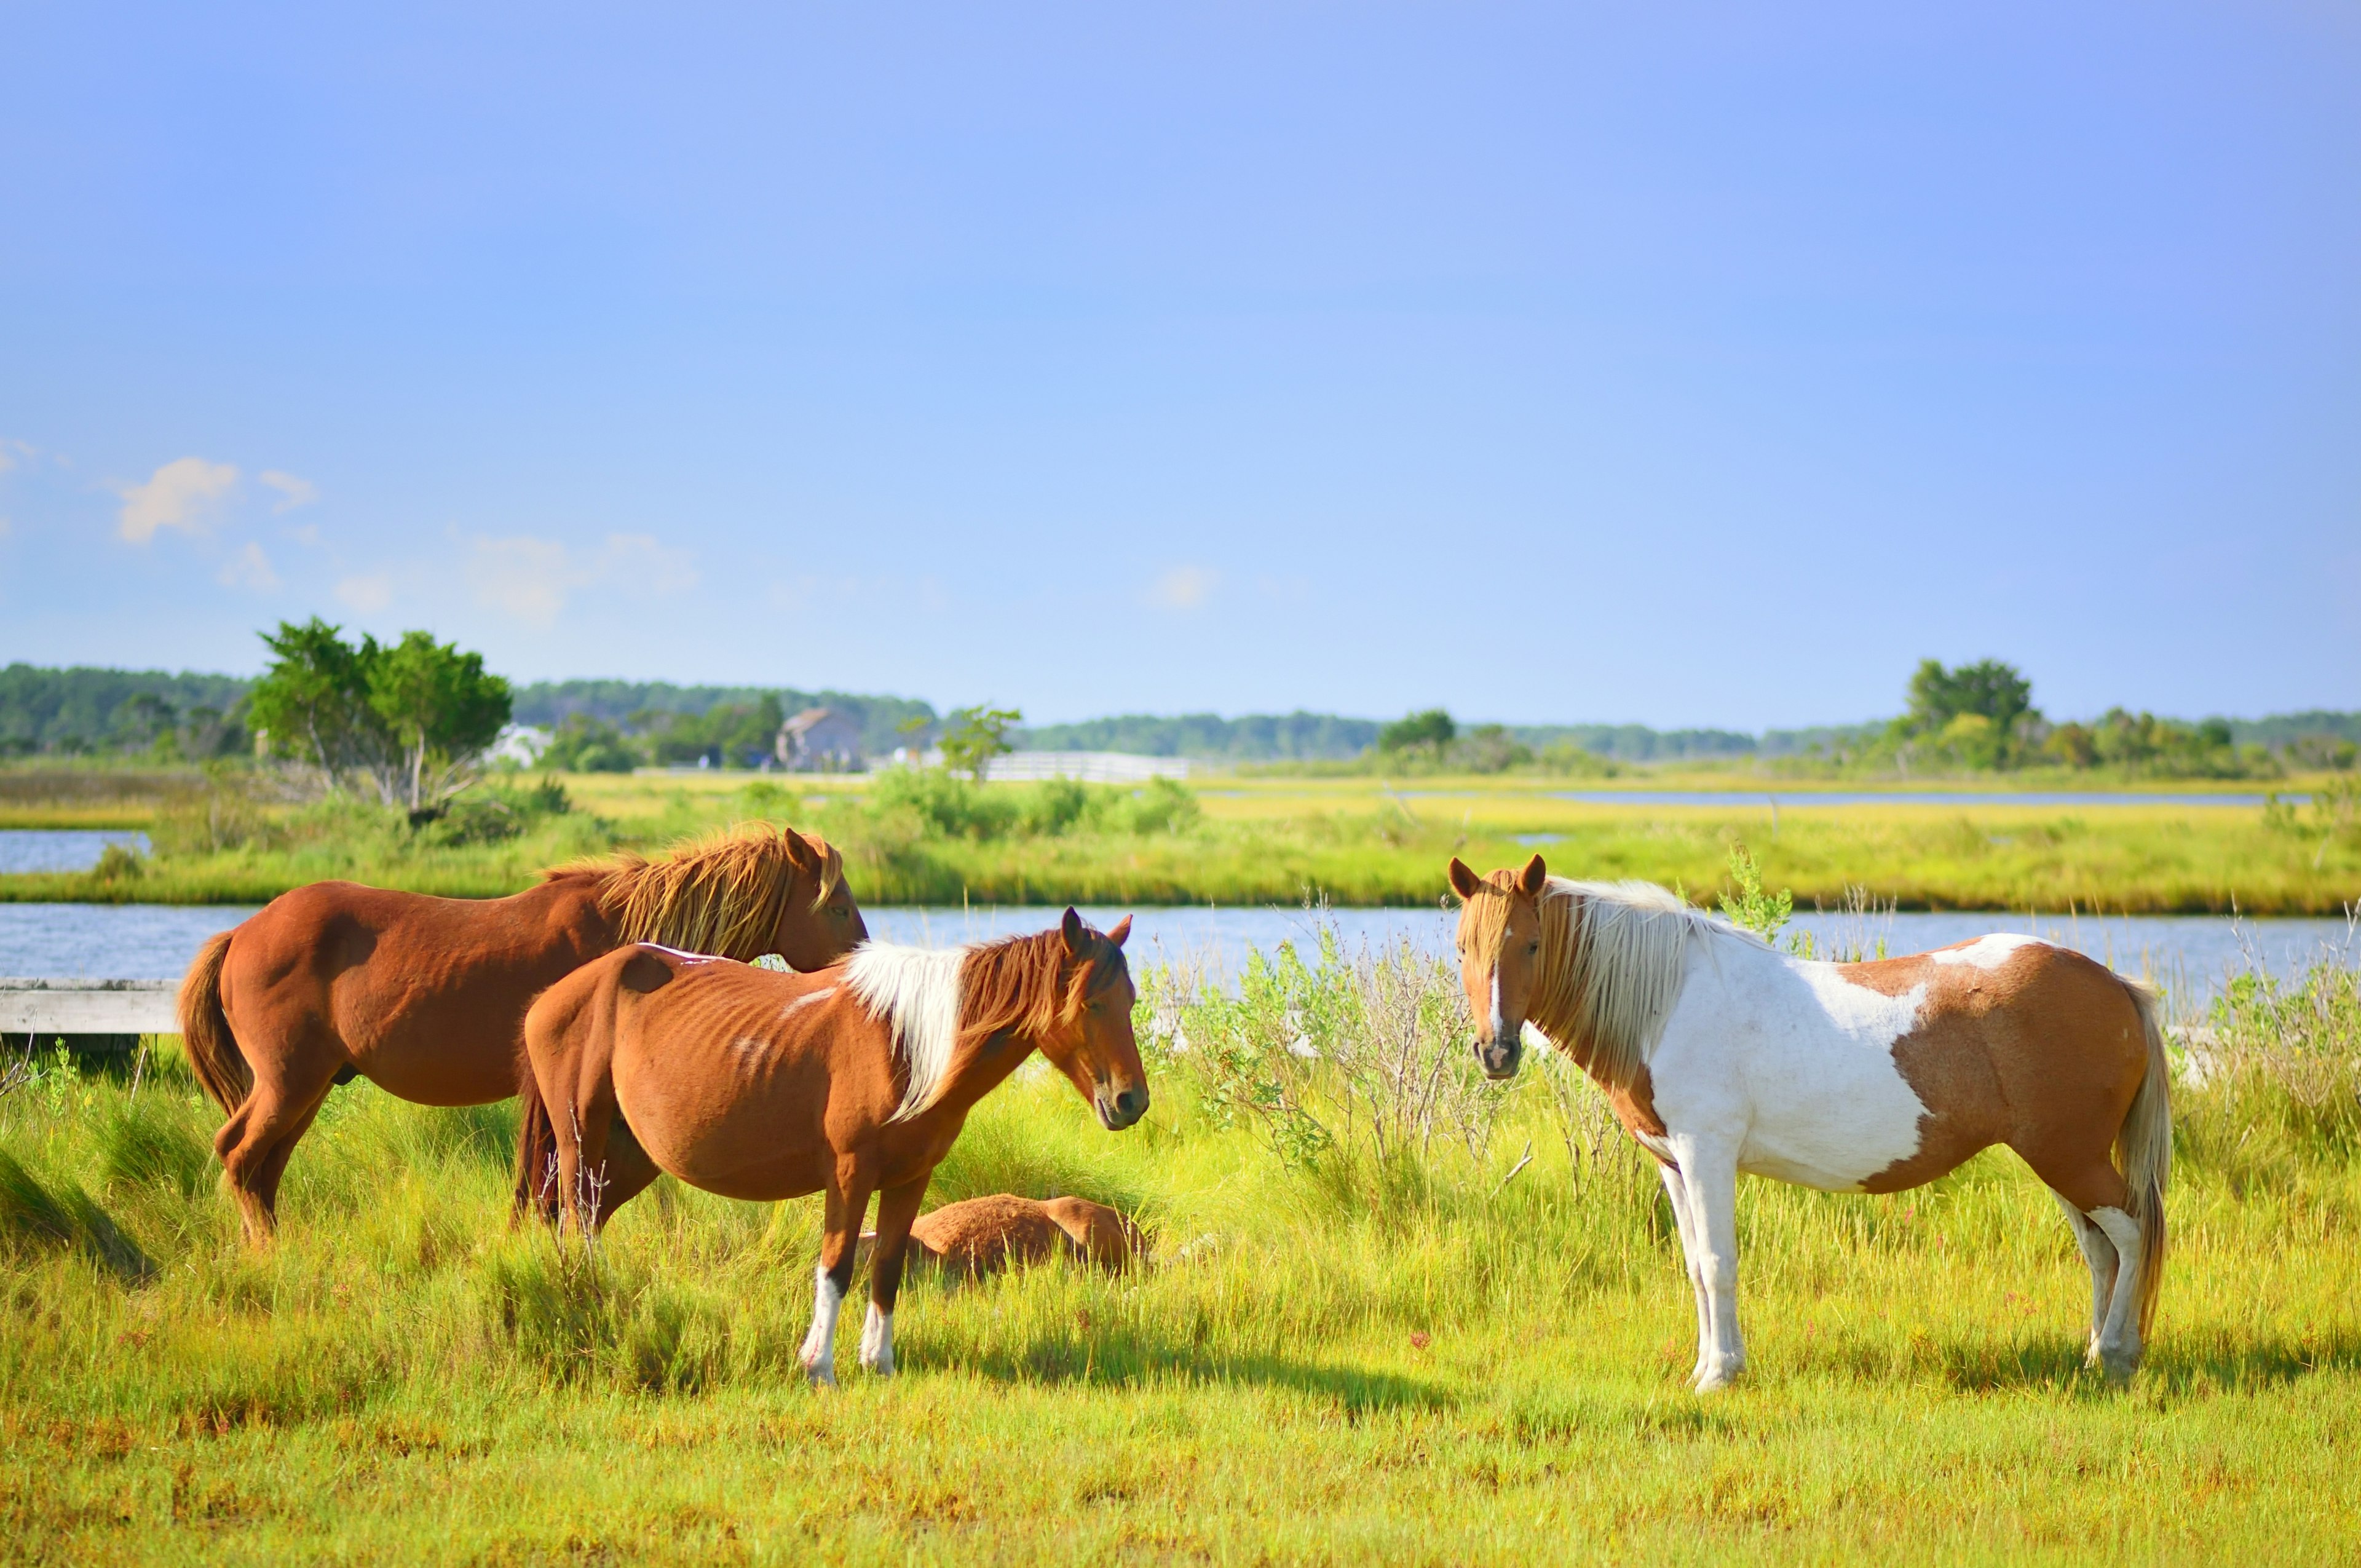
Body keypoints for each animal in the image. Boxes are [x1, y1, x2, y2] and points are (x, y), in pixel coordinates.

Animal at [179, 826, 869, 1246]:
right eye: (837, 907)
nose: (864, 970)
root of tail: (242, 933)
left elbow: (539, 1181)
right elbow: (548, 1179)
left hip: (308, 1088)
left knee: (264, 1168)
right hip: (288, 1084)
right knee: (239, 1155)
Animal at [521, 906, 1147, 1388]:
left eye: (1131, 1001)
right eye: (1090, 1004)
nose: (1131, 1101)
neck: (908, 1043)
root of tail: (552, 997)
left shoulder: (910, 1178)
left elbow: (888, 1266)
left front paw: (880, 1363)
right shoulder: (849, 1174)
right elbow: (837, 1267)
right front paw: (818, 1366)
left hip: (627, 1157)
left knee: (583, 1218)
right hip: (582, 1138)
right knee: (576, 1220)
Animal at [1445, 850, 2162, 1388]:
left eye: (1531, 944)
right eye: (1461, 950)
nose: (1496, 1053)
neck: (1665, 1002)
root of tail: (2115, 986)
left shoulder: (1707, 1153)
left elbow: (1719, 1261)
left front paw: (1720, 1375)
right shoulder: (1673, 1163)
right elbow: (1694, 1266)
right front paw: (1705, 1366)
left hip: (2070, 1157)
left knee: (2131, 1234)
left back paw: (2118, 1355)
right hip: (2057, 1159)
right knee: (2099, 1250)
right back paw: (2094, 1354)